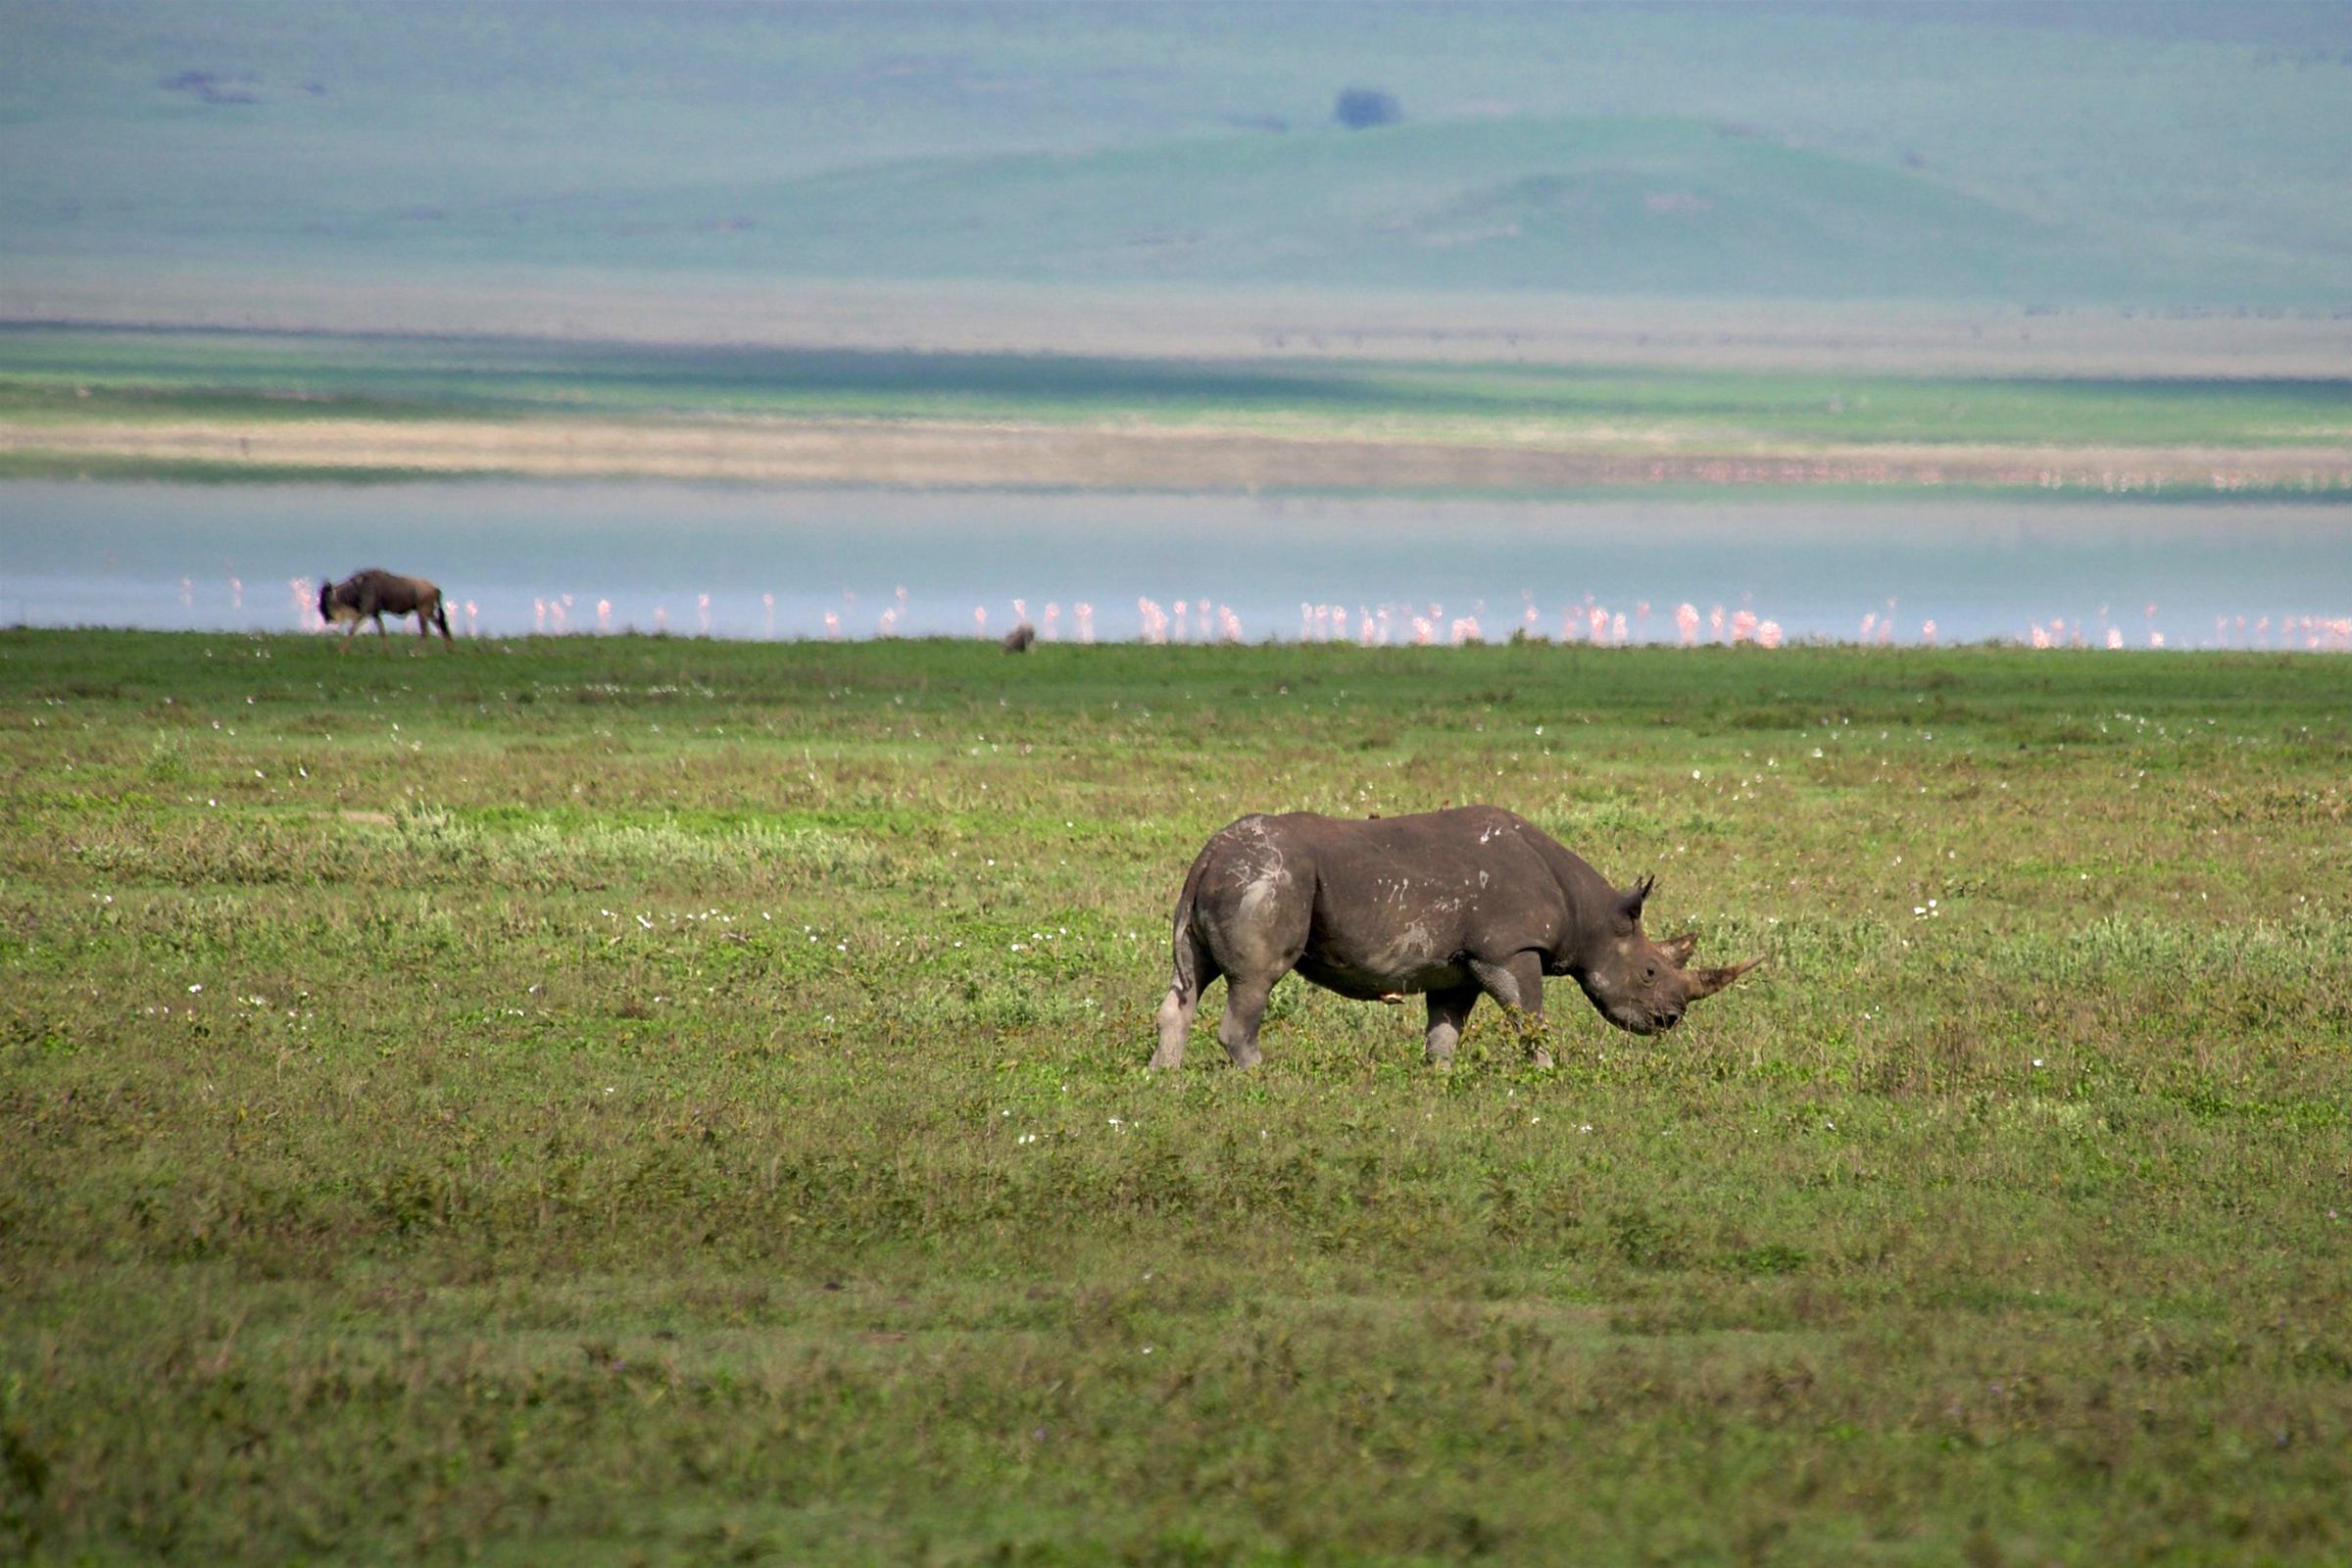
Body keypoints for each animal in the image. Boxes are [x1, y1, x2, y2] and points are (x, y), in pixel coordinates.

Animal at [1150, 806, 1760, 1069]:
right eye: (1650, 972)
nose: (1670, 1020)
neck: (1590, 914)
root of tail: (1207, 856)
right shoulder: (1509, 949)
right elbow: (1530, 1019)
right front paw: (1545, 1075)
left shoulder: (1459, 964)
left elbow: (1445, 1030)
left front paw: (1438, 1081)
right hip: (1268, 879)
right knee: (1255, 981)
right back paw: (1263, 1080)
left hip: (1225, 881)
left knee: (1188, 982)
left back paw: (1166, 1079)